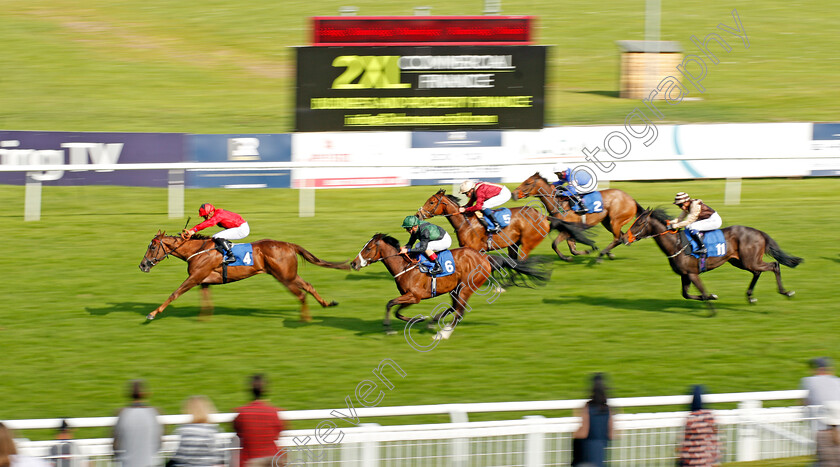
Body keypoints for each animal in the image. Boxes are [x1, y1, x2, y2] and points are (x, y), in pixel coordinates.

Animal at [139, 231, 348, 322]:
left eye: (152, 246)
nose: (142, 265)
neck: (198, 250)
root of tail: (289, 244)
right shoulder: (204, 281)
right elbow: (206, 301)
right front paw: (203, 318)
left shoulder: (195, 277)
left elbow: (174, 294)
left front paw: (152, 313)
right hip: (289, 275)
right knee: (308, 286)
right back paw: (327, 304)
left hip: (284, 277)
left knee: (301, 294)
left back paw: (306, 319)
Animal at [350, 236, 552, 338]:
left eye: (368, 249)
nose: (353, 263)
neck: (405, 266)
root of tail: (485, 257)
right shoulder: (410, 297)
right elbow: (397, 310)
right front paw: (419, 319)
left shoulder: (415, 296)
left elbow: (390, 304)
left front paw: (389, 328)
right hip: (456, 288)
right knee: (454, 307)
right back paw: (433, 322)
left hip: (467, 287)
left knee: (459, 311)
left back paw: (443, 333)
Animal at [416, 191, 592, 264]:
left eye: (431, 202)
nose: (418, 214)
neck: (465, 223)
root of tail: (542, 216)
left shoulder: (475, 249)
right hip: (513, 244)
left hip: (527, 242)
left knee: (523, 258)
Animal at [512, 173, 644, 262]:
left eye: (527, 183)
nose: (513, 194)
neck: (558, 203)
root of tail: (631, 199)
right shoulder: (569, 231)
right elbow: (573, 249)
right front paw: (587, 250)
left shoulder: (568, 230)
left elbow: (554, 244)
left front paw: (566, 258)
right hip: (608, 222)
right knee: (621, 237)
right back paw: (609, 254)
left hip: (615, 221)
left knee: (617, 238)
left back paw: (601, 256)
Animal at [620, 209, 804, 308]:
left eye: (639, 223)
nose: (623, 238)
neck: (676, 244)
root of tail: (759, 232)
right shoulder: (685, 274)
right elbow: (685, 294)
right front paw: (711, 296)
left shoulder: (692, 273)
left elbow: (693, 292)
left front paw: (711, 297)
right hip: (740, 261)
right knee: (757, 272)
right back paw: (750, 296)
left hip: (749, 261)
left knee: (774, 265)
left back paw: (786, 292)